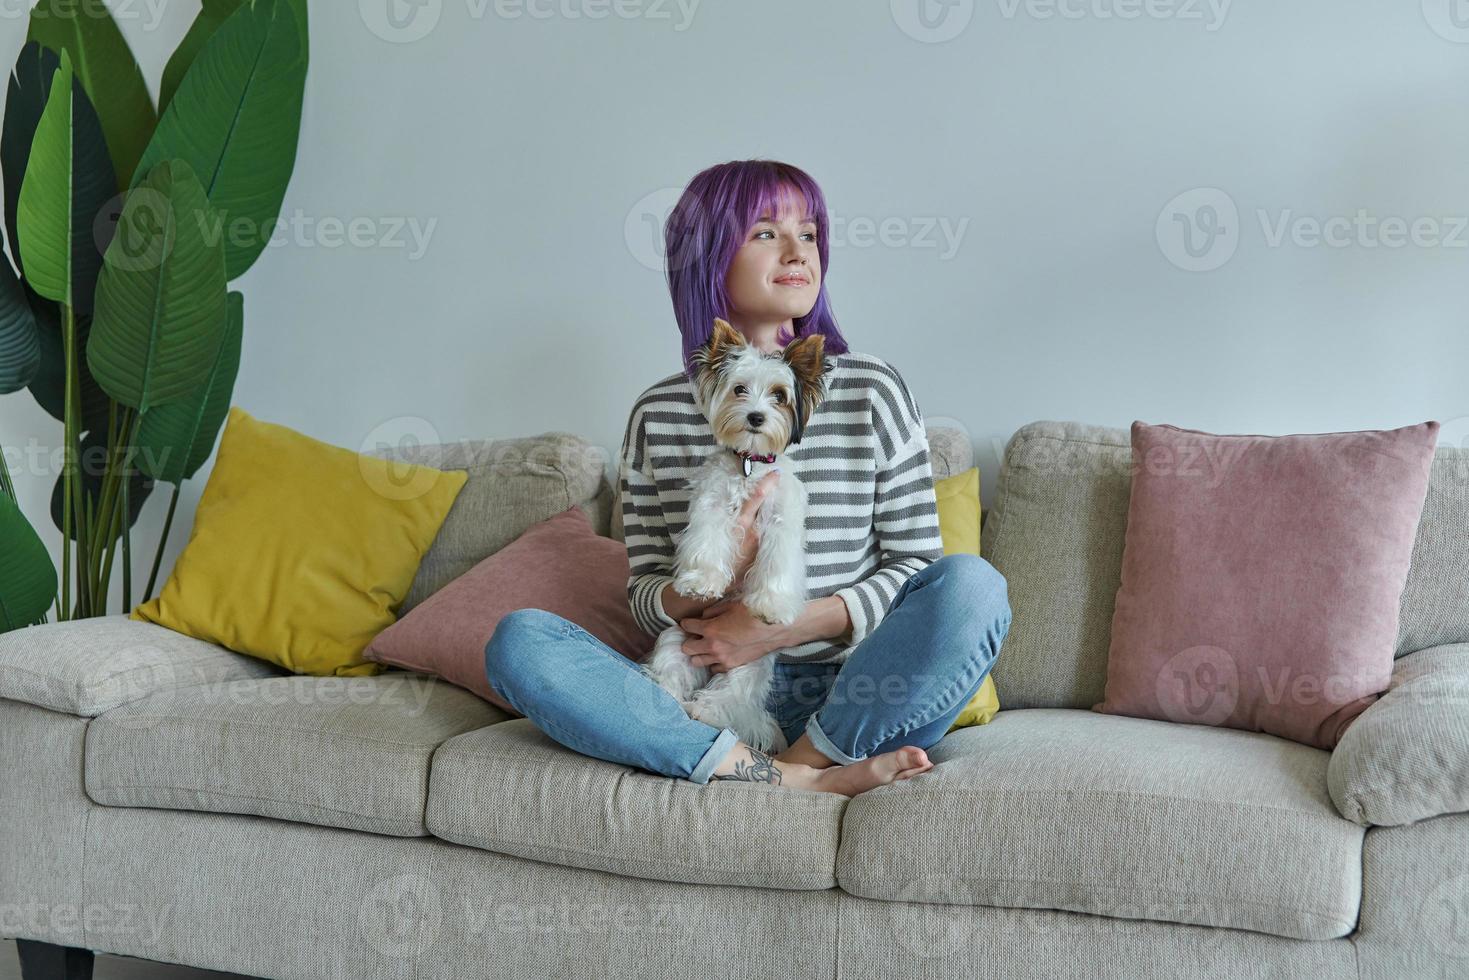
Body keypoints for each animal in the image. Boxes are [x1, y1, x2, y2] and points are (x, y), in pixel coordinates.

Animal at [643, 321, 840, 758]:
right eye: (739, 389)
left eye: (780, 395)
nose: (755, 416)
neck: (749, 464)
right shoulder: (711, 502)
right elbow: (707, 539)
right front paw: (701, 582)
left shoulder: (781, 517)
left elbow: (778, 560)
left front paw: (771, 605)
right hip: (675, 640)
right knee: (671, 675)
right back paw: (669, 700)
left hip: (747, 662)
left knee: (729, 698)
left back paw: (706, 710)